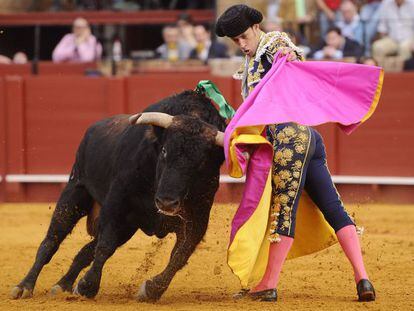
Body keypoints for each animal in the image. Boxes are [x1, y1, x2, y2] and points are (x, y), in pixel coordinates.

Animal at [11, 90, 226, 302]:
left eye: (202, 162)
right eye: (164, 151)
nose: (166, 202)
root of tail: (92, 129)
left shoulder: (197, 218)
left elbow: (180, 255)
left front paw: (151, 290)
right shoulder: (116, 205)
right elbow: (105, 245)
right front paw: (87, 286)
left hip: (127, 227)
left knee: (86, 250)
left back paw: (63, 285)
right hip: (75, 193)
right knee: (51, 242)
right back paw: (24, 286)